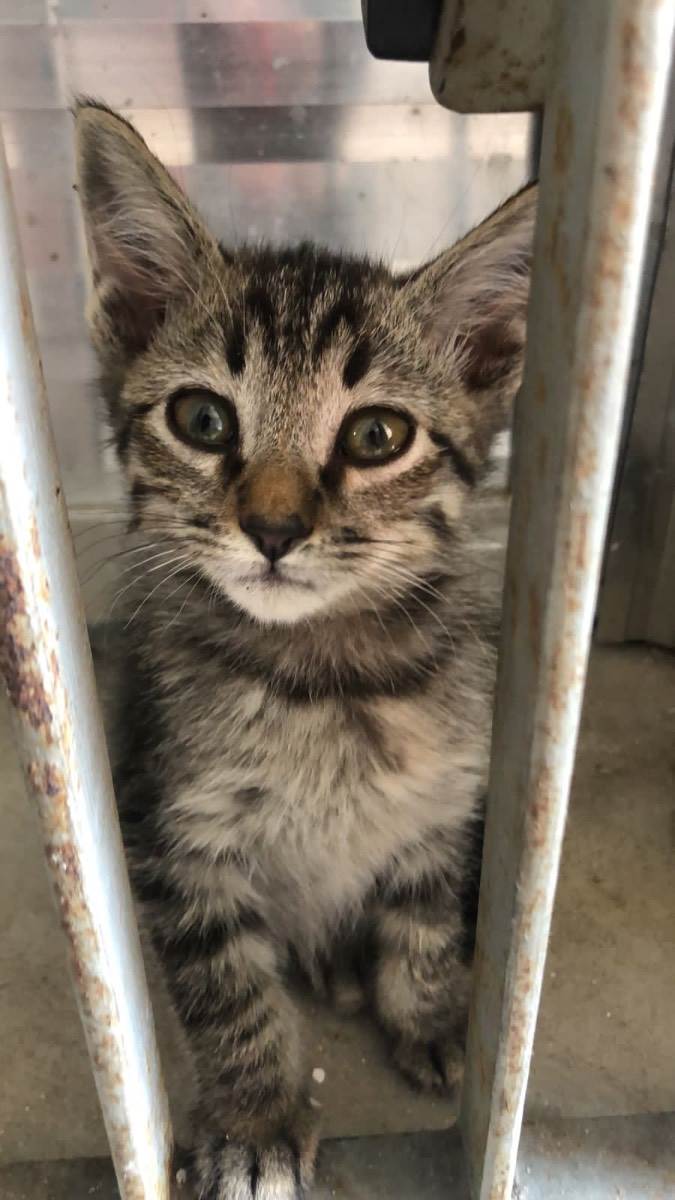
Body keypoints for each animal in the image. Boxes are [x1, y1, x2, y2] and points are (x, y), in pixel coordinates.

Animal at [74, 98, 535, 1200]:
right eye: (202, 419)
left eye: (376, 437)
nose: (274, 529)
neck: (328, 678)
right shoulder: (172, 829)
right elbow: (227, 988)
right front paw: (254, 1117)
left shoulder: (444, 799)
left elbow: (423, 915)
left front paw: (435, 1015)